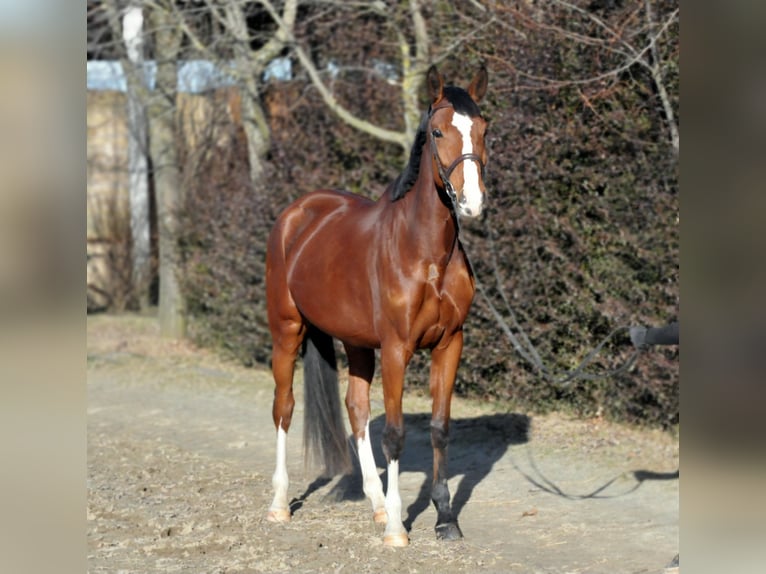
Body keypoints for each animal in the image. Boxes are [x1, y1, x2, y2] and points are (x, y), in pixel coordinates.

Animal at [265, 65, 489, 547]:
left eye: (484, 129)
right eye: (438, 131)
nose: (472, 202)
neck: (425, 252)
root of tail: (297, 213)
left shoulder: (450, 344)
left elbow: (439, 429)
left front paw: (444, 518)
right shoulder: (397, 350)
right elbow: (396, 434)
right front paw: (397, 530)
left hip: (357, 342)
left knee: (356, 409)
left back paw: (375, 503)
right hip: (287, 331)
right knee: (284, 408)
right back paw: (280, 504)